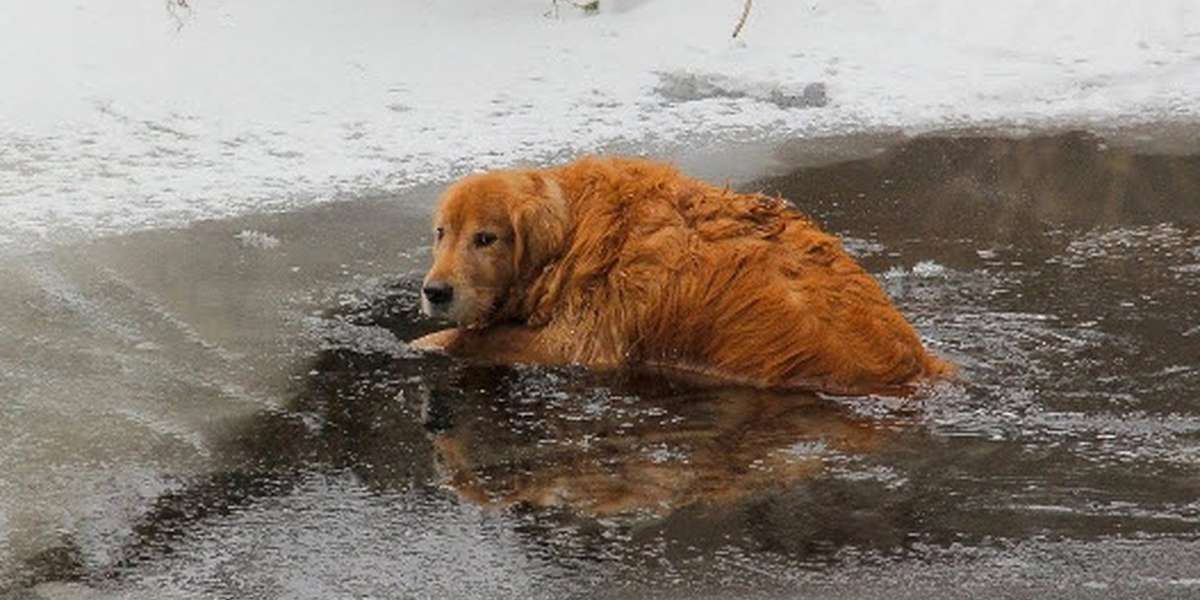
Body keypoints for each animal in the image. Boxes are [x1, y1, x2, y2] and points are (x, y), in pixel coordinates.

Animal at [412, 157, 945, 396]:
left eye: (486, 238)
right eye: (441, 233)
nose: (435, 291)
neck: (575, 233)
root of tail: (913, 358)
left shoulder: (588, 338)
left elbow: (476, 339)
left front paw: (425, 342)